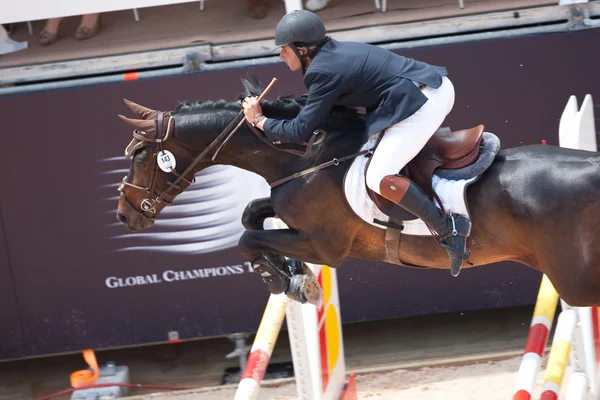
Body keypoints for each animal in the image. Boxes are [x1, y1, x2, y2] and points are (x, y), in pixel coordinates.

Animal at [113, 78, 600, 308]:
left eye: (141, 156)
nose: (125, 215)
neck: (305, 154)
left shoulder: (326, 246)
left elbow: (248, 237)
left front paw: (290, 281)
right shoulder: (293, 213)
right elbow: (252, 213)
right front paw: (291, 273)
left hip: (574, 282)